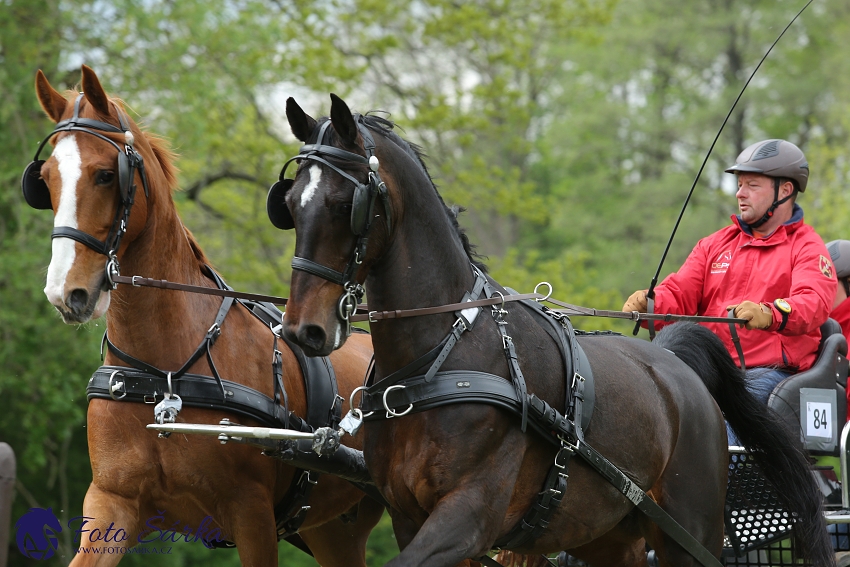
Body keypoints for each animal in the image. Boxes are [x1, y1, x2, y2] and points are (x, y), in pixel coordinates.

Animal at [29, 66, 380, 567]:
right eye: (45, 178)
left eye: (104, 175)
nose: (66, 292)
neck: (164, 373)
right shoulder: (112, 501)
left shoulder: (251, 516)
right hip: (336, 532)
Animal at [274, 94, 832, 567]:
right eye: (291, 203)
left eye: (346, 205)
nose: (305, 330)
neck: (440, 358)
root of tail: (678, 369)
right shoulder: (411, 517)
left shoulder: (467, 517)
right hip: (609, 536)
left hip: (689, 536)